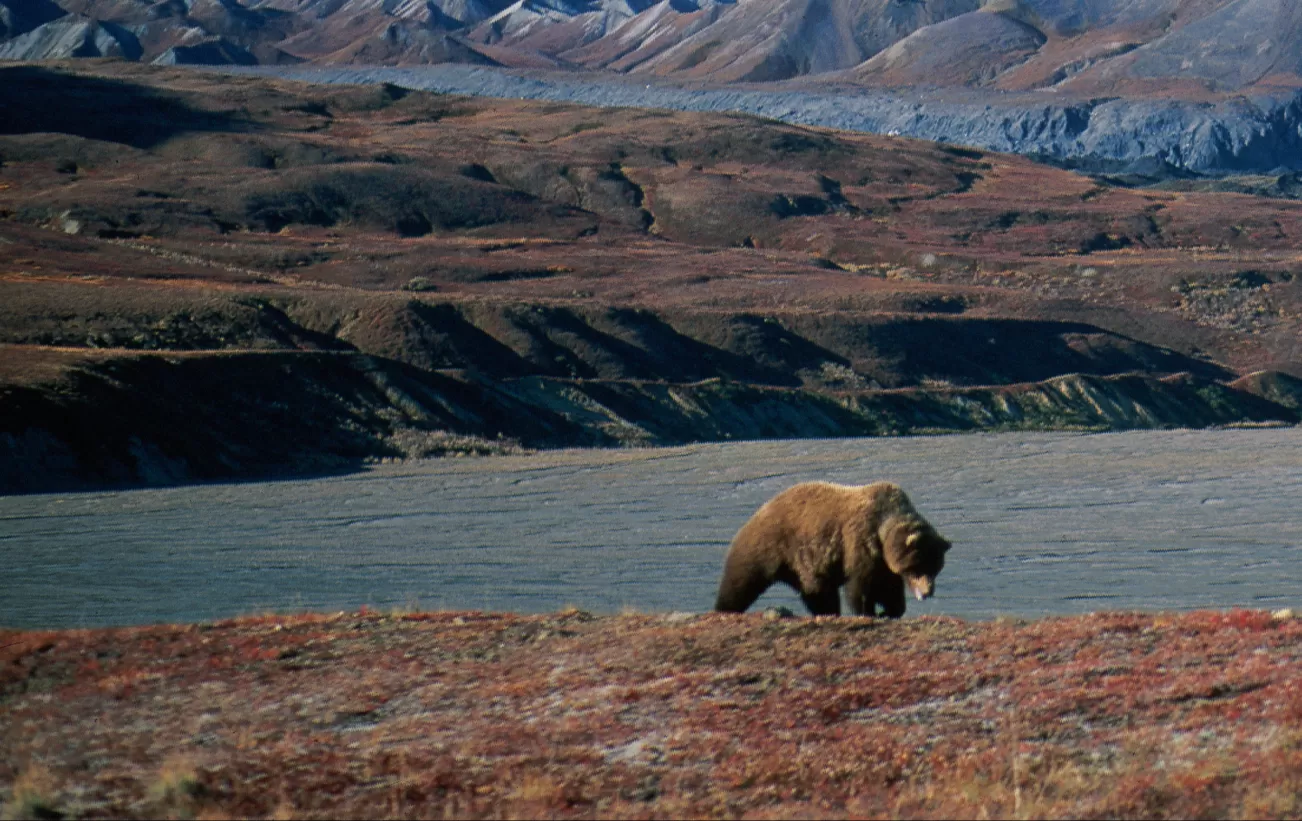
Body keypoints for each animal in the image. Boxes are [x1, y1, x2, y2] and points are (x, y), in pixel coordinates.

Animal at [714, 481, 951, 617]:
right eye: (918, 567)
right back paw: (724, 608)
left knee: (818, 592)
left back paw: (828, 612)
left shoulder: (883, 562)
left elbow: (888, 587)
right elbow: (861, 586)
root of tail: (759, 511)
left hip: (805, 566)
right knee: (741, 581)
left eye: (936, 568)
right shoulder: (861, 543)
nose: (928, 592)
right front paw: (868, 612)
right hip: (768, 545)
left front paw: (890, 610)